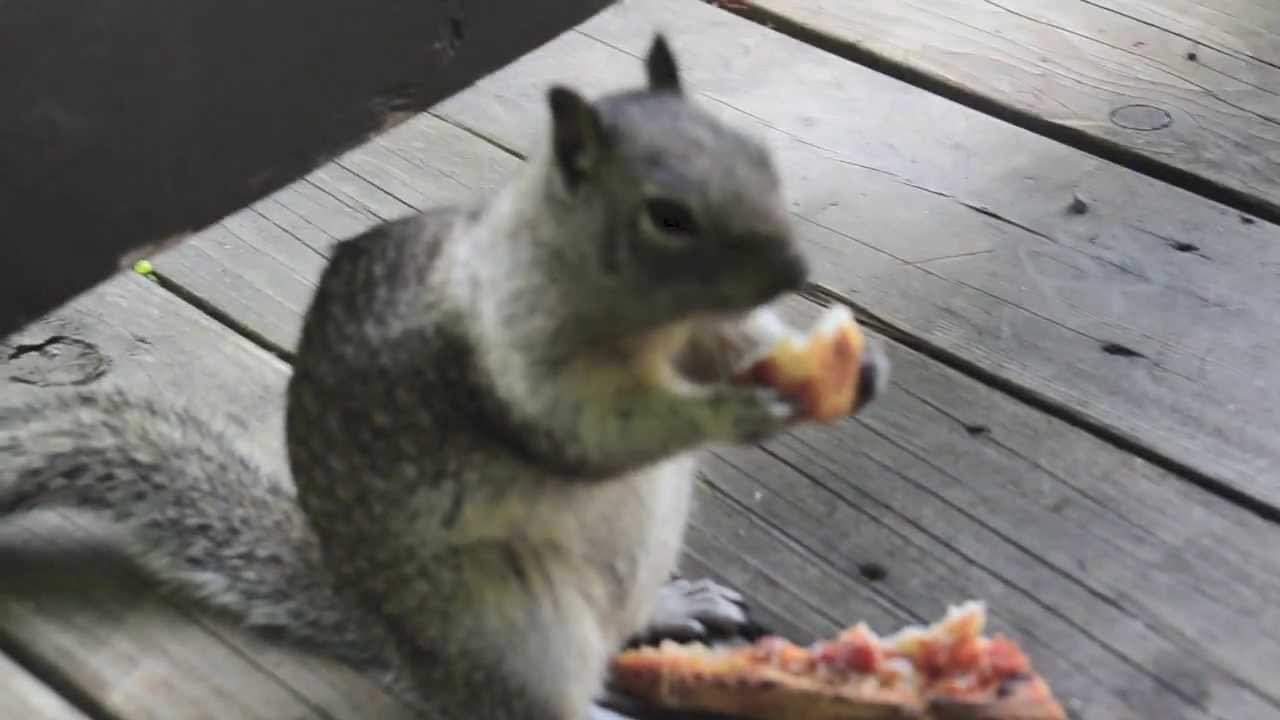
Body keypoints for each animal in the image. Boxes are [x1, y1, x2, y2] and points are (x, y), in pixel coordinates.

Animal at [0, 35, 880, 717]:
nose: (796, 270)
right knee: (536, 703)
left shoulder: (702, 329)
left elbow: (738, 340)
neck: (644, 324)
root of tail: (402, 645)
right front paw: (734, 411)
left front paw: (853, 365)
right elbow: (593, 433)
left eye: (758, 155)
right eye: (668, 217)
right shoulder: (510, 369)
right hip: (517, 624)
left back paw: (672, 606)